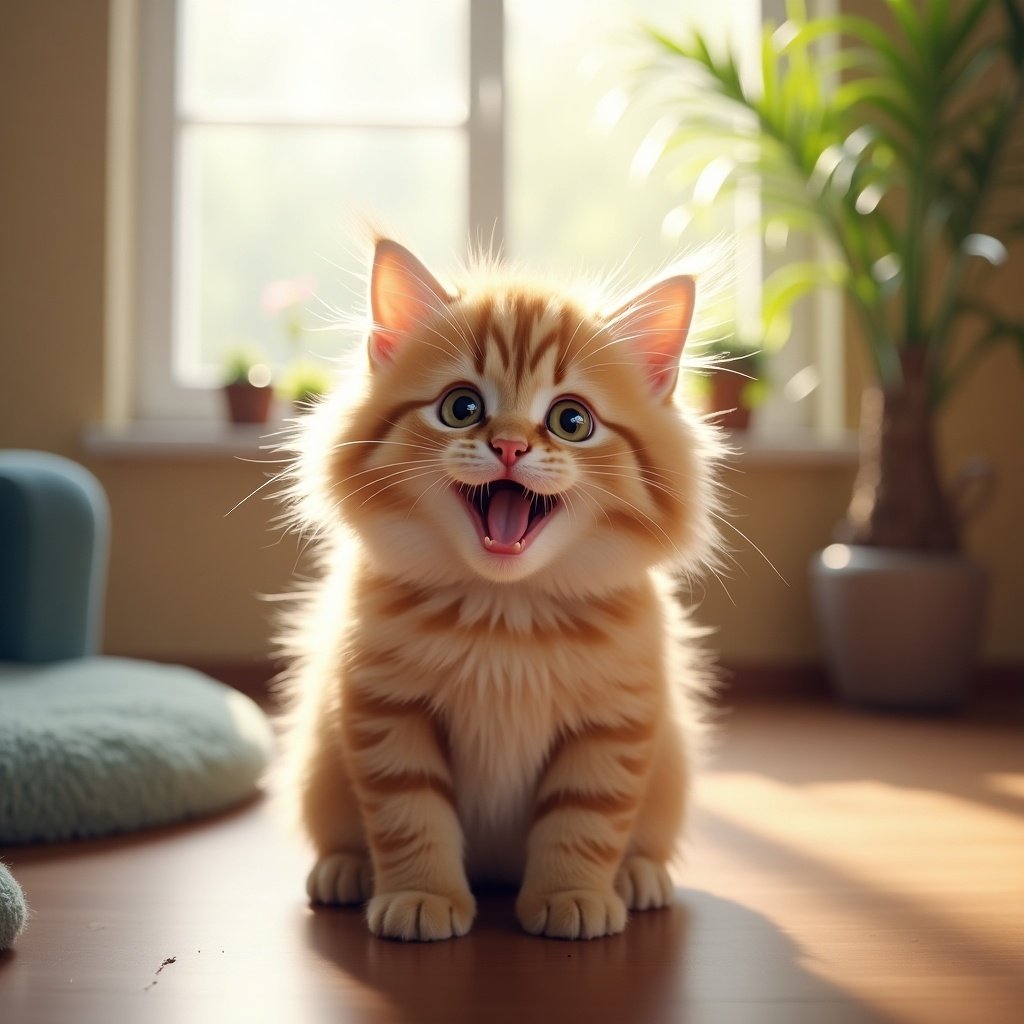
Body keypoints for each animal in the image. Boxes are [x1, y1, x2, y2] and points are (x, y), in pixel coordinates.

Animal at [276, 239, 724, 942]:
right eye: (462, 407)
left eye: (571, 420)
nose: (510, 445)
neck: (504, 613)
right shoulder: (385, 711)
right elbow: (410, 816)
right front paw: (422, 898)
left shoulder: (615, 725)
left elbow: (584, 820)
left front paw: (573, 896)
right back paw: (343, 870)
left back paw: (637, 876)